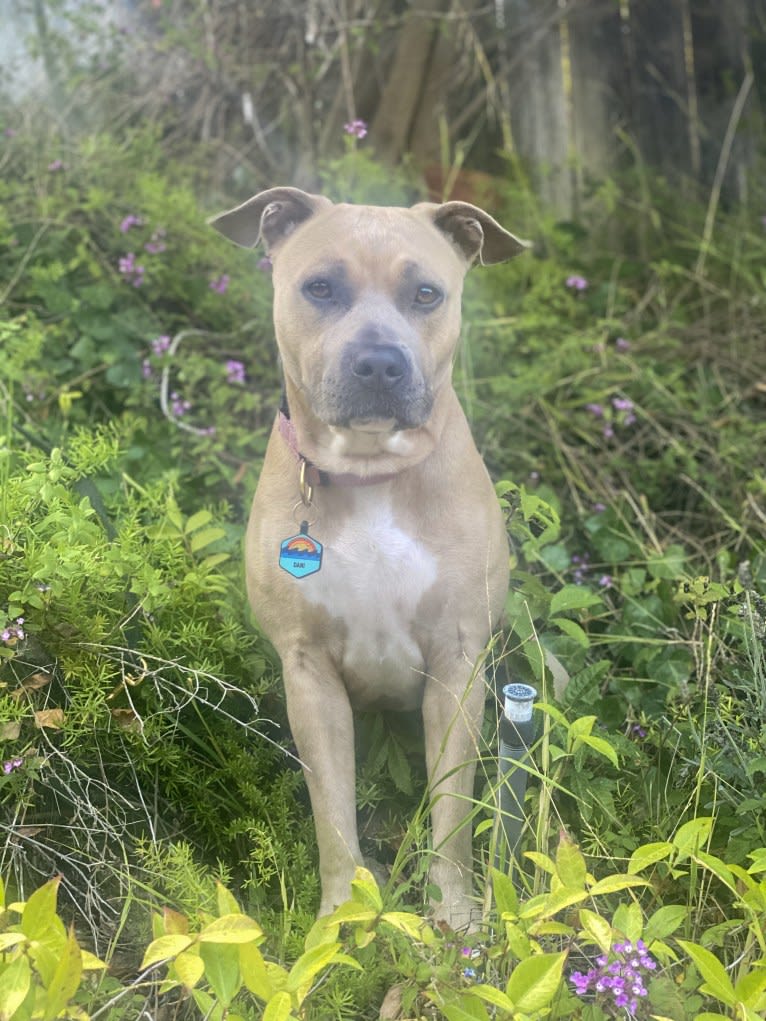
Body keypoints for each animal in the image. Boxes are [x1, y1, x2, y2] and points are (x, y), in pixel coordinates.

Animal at [211, 187, 527, 931]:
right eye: (320, 287)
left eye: (426, 293)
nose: (380, 362)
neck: (369, 475)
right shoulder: (309, 673)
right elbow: (331, 811)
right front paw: (341, 919)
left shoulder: (457, 663)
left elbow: (451, 812)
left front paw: (456, 918)